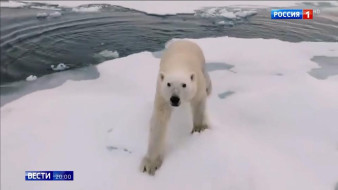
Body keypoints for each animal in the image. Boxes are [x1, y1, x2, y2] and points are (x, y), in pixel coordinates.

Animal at [140, 39, 211, 175]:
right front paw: (150, 163)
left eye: (184, 84)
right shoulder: (162, 94)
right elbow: (160, 120)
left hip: (202, 62)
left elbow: (199, 103)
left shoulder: (197, 83)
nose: (174, 99)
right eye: (169, 84)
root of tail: (184, 40)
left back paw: (209, 89)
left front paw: (198, 129)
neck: (179, 65)